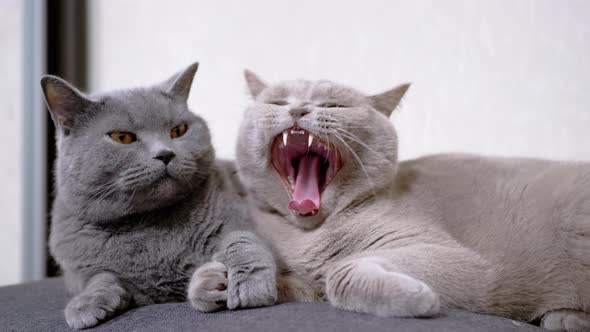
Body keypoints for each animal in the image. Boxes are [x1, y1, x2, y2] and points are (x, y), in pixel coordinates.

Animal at [41, 63, 278, 330]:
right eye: (122, 137)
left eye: (178, 130)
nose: (165, 154)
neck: (151, 225)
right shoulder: (81, 272)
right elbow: (100, 277)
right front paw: (86, 305)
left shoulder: (241, 221)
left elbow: (241, 242)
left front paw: (249, 286)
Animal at [236, 72, 590, 332]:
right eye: (277, 102)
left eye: (335, 105)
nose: (298, 110)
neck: (308, 237)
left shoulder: (457, 258)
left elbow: (340, 270)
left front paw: (421, 298)